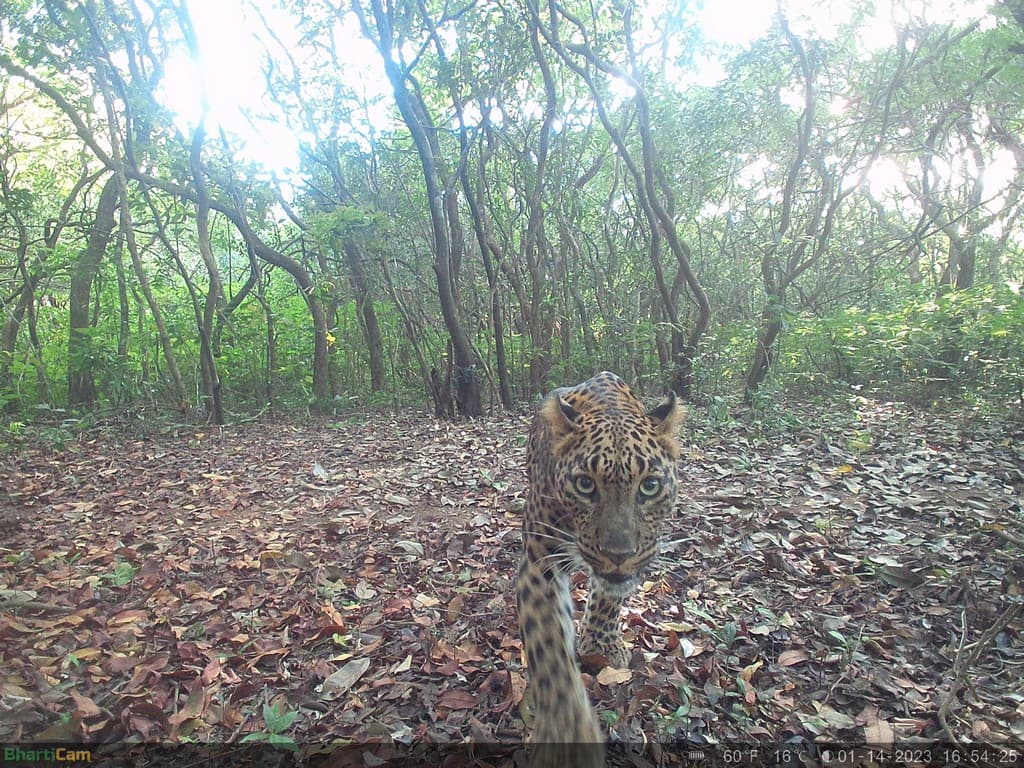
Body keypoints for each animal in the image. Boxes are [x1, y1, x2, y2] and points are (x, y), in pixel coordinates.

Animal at [516, 370, 684, 765]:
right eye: (584, 484)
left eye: (649, 486)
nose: (618, 552)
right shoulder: (539, 561)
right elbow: (549, 646)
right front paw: (568, 735)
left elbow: (609, 596)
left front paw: (600, 643)